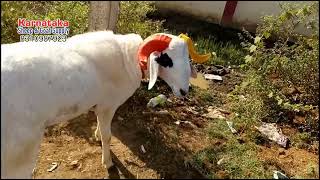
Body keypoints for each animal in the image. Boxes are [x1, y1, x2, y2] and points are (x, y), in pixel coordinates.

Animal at [1, 30, 209, 178]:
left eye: (187, 58)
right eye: (166, 59)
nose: (184, 92)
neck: (128, 58)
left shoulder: (99, 106)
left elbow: (101, 129)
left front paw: (96, 135)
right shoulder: (107, 106)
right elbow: (108, 136)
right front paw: (108, 162)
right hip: (20, 148)